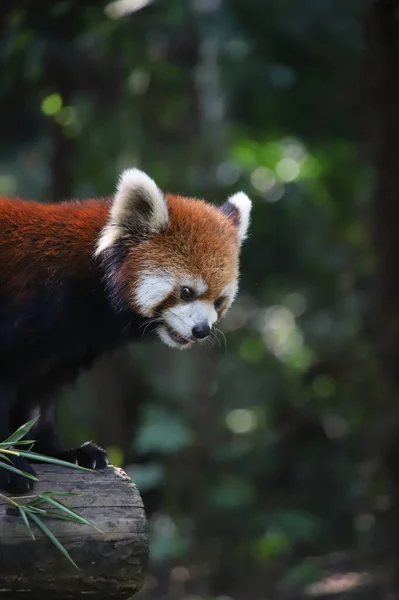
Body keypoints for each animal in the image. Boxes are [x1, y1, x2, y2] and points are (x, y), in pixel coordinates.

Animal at [0, 165, 252, 492]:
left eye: (219, 300)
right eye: (186, 292)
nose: (202, 329)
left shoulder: (65, 347)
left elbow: (40, 396)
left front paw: (58, 452)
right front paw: (9, 466)